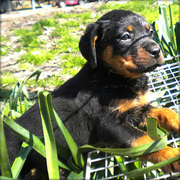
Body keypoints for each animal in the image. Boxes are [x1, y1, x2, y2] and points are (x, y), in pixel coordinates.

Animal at [2, 9, 180, 179]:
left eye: (150, 32)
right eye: (125, 36)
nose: (156, 50)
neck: (113, 78)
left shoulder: (137, 108)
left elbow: (165, 112)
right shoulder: (109, 123)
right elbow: (143, 140)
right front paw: (172, 155)